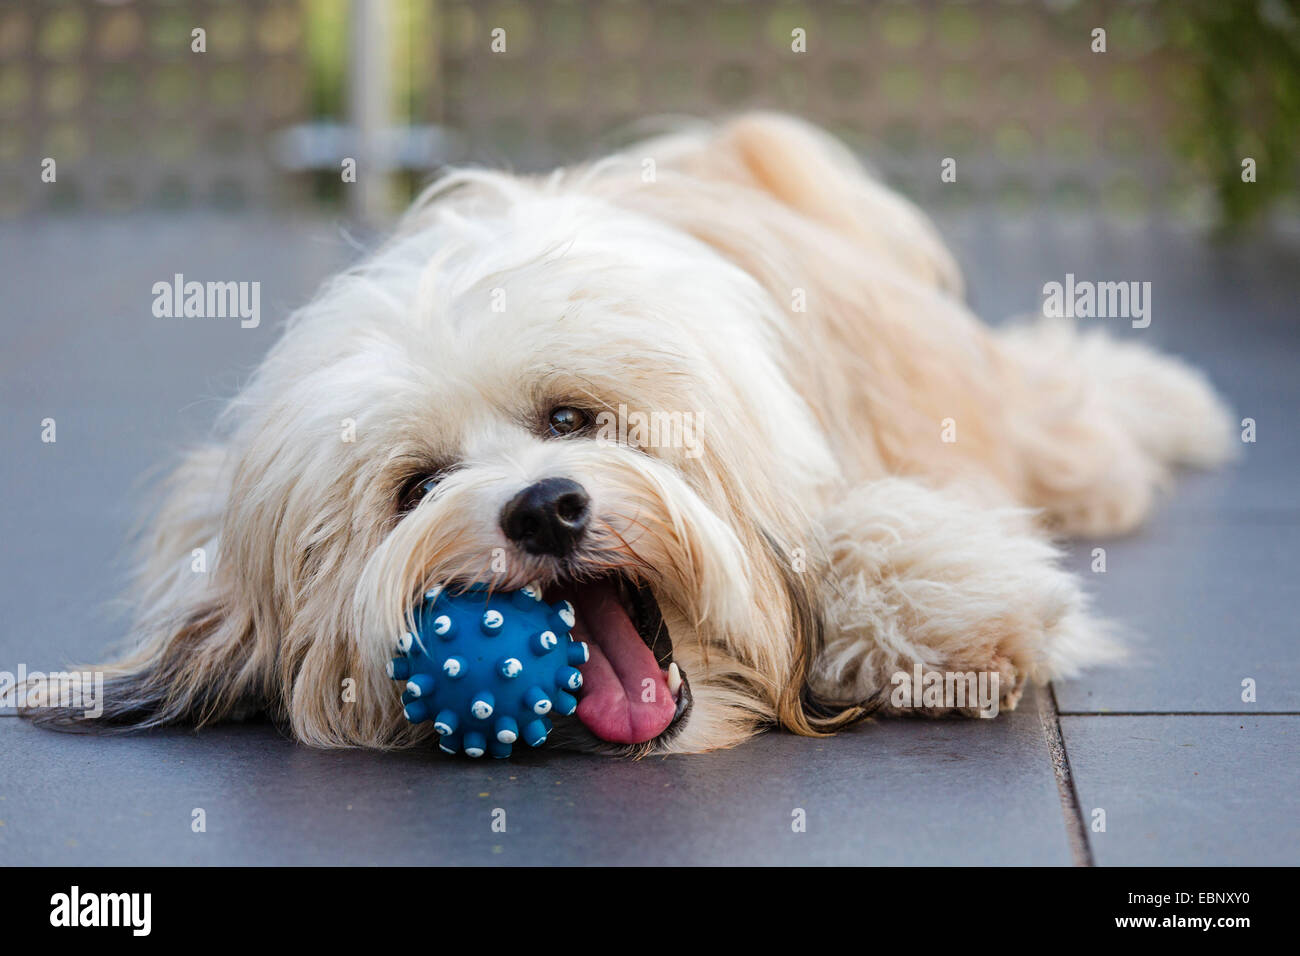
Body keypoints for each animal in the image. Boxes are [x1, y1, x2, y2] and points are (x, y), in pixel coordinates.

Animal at [30, 113, 1227, 754]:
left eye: (571, 418)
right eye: (414, 487)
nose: (545, 507)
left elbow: (861, 533)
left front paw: (961, 618)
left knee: (1061, 400)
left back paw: (1172, 408)